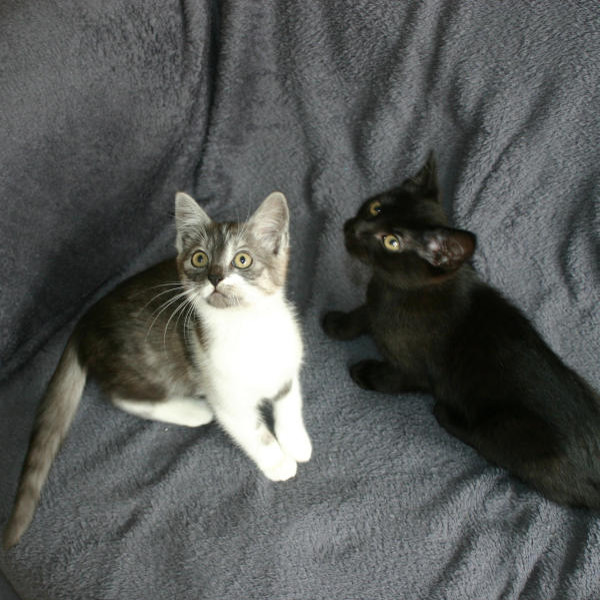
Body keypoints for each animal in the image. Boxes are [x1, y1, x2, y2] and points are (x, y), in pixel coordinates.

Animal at [4, 190, 312, 549]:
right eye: (199, 259)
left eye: (243, 260)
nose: (215, 276)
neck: (247, 329)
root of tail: (85, 320)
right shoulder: (226, 398)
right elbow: (253, 431)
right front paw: (278, 461)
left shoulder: (287, 362)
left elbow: (289, 402)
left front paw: (296, 442)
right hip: (149, 365)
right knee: (121, 395)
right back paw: (192, 411)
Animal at [322, 153, 600, 509]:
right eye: (375, 208)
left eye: (392, 242)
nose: (355, 227)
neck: (392, 290)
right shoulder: (375, 303)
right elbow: (363, 314)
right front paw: (337, 324)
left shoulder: (416, 370)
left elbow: (392, 378)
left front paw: (365, 372)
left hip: (505, 427)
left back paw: (448, 415)